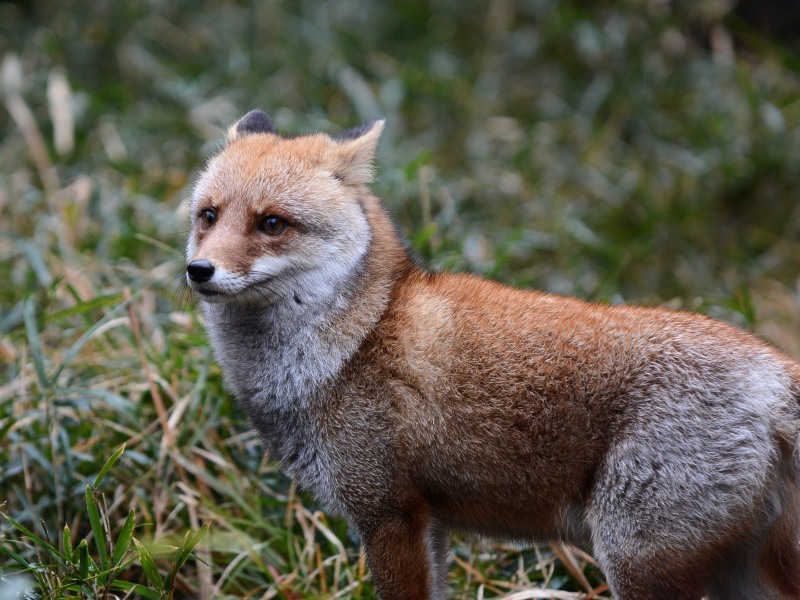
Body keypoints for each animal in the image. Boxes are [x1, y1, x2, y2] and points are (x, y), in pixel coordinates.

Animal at [184, 109, 800, 600]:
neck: (356, 337)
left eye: (271, 223)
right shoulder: (427, 521)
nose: (198, 270)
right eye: (208, 215)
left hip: (638, 561)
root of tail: (772, 368)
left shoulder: (388, 515)